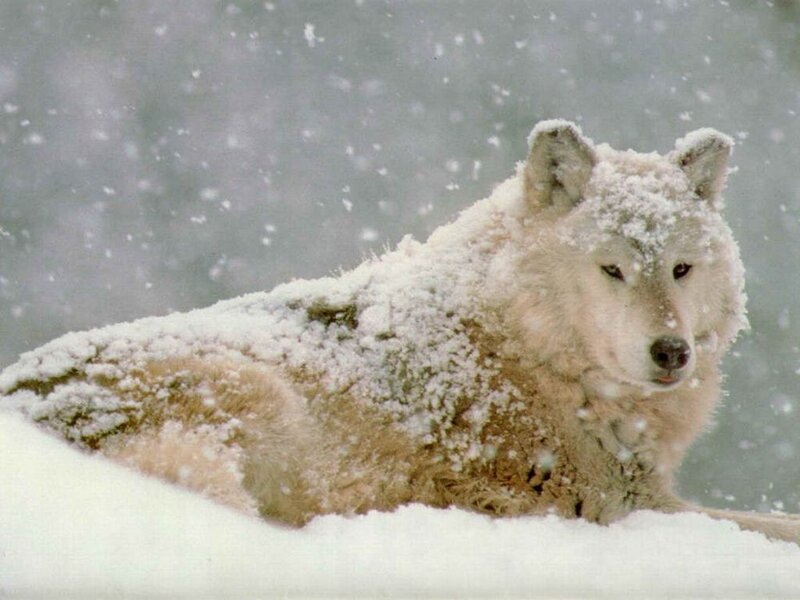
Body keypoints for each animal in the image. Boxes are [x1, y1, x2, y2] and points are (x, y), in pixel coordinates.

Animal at [2, 120, 799, 542]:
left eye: (682, 269)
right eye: (612, 270)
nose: (672, 352)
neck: (528, 348)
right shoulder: (621, 506)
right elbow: (768, 523)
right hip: (251, 392)